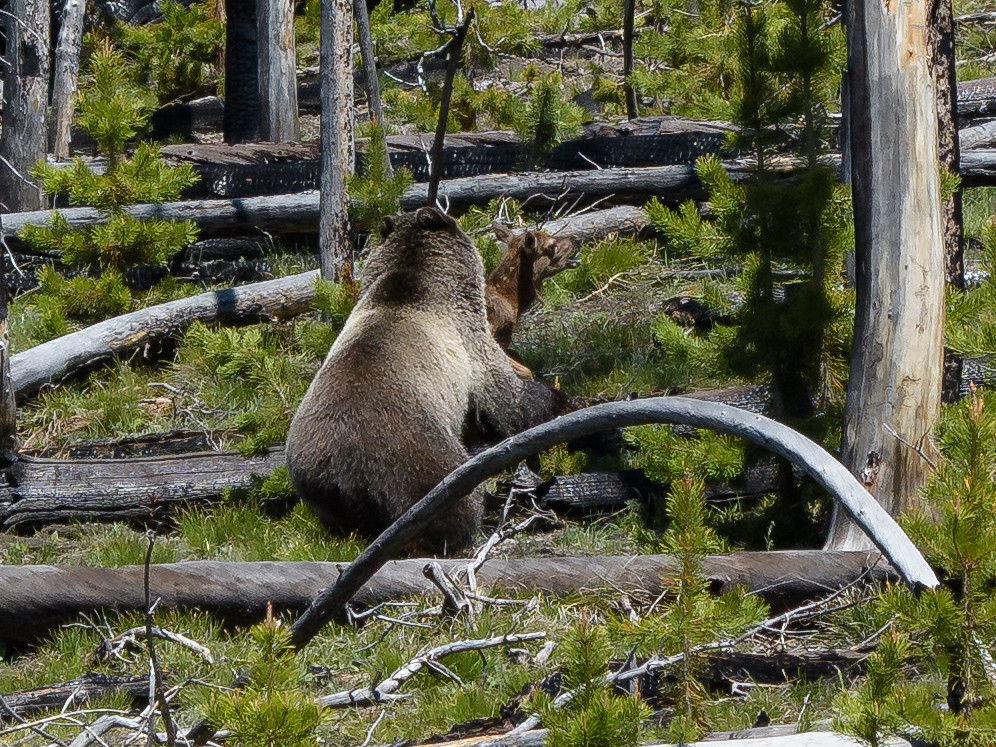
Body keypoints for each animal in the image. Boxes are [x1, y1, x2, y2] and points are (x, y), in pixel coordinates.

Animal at [286, 207, 568, 555]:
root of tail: (341, 475)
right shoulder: (468, 339)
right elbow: (505, 395)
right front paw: (556, 399)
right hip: (417, 460)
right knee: (448, 499)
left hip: (314, 484)